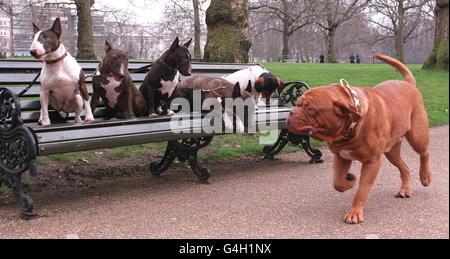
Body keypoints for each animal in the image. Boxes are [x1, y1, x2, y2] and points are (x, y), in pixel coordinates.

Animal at [286, 54, 430, 225]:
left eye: (309, 108)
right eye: (297, 104)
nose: (290, 112)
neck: (350, 127)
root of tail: (408, 84)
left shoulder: (372, 161)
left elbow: (362, 190)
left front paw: (354, 213)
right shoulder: (341, 157)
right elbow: (338, 182)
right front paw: (350, 180)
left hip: (417, 135)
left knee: (424, 153)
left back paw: (425, 177)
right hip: (391, 151)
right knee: (405, 168)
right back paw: (405, 189)